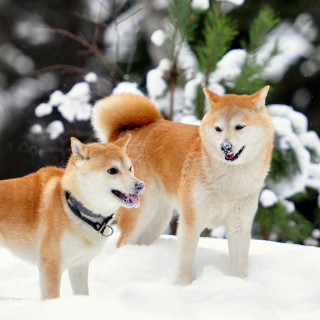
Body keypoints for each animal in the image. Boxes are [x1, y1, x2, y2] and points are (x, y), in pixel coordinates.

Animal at [0, 135, 144, 300]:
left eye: (130, 168)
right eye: (112, 170)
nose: (140, 185)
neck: (74, 208)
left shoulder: (79, 265)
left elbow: (82, 293)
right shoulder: (50, 265)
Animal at [91, 87, 274, 284]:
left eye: (239, 127)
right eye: (218, 128)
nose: (225, 146)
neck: (229, 182)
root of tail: (127, 133)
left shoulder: (239, 226)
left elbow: (239, 267)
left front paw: (238, 284)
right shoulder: (191, 222)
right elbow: (185, 262)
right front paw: (183, 286)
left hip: (157, 221)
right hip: (140, 215)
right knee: (121, 243)